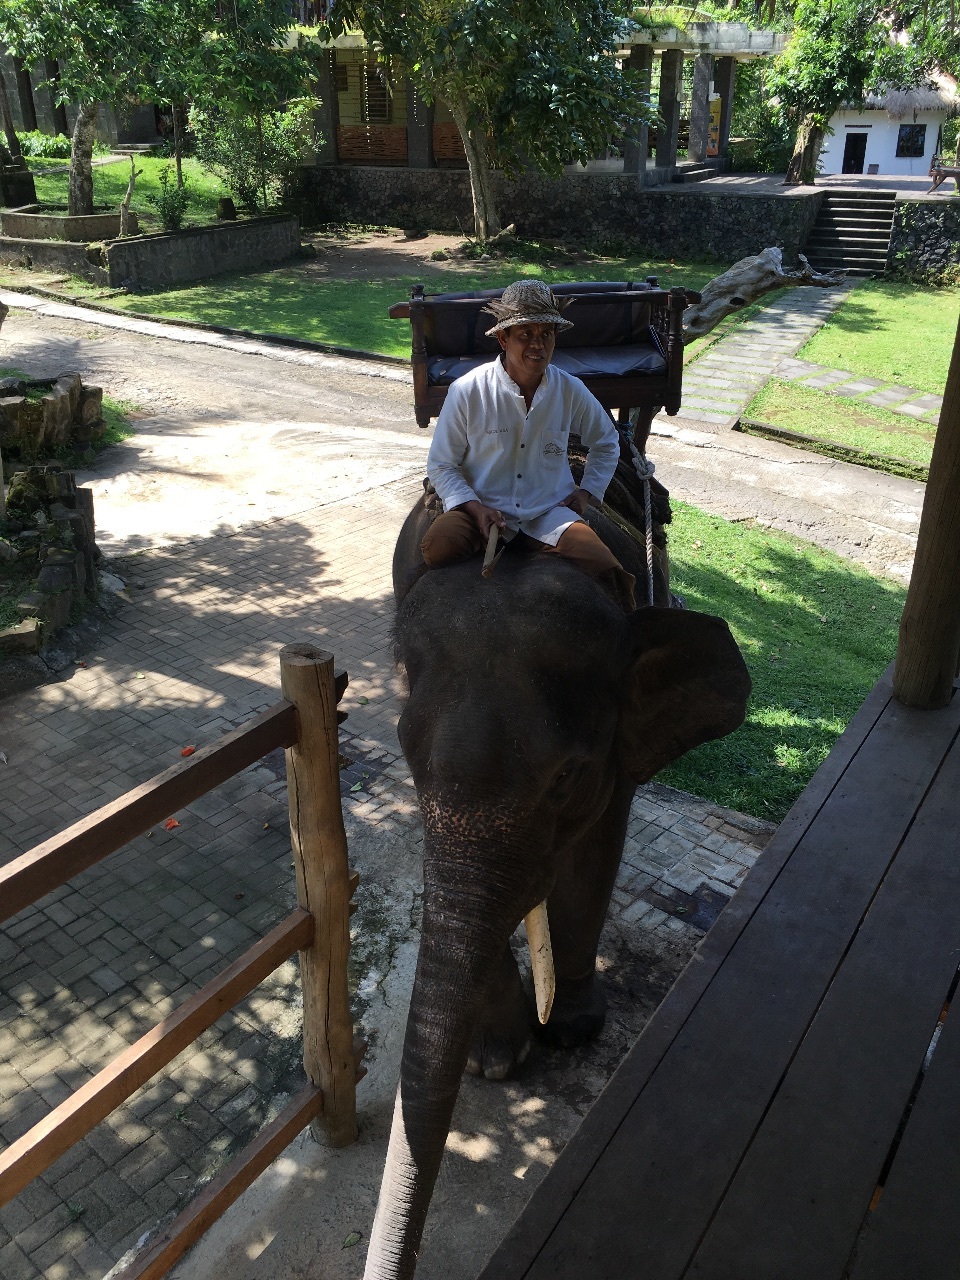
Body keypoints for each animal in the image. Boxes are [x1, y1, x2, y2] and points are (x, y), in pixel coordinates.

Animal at [362, 486, 751, 1280]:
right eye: (408, 759)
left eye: (567, 778)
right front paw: (497, 1060)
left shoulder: (620, 740)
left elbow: (591, 857)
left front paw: (572, 1031)